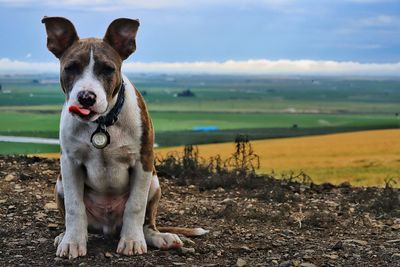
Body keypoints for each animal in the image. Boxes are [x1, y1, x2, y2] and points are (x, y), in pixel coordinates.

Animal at [42, 16, 208, 260]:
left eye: (108, 69)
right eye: (70, 68)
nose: (86, 97)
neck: (101, 123)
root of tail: (108, 227)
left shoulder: (143, 161)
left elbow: (135, 206)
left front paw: (131, 241)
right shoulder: (70, 163)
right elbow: (74, 207)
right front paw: (72, 242)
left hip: (155, 183)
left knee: (147, 222)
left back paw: (160, 237)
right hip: (60, 183)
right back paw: (65, 235)